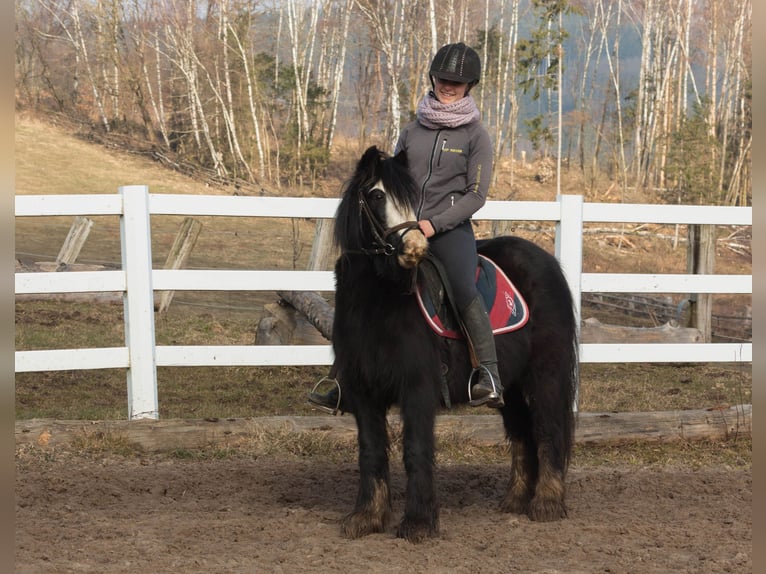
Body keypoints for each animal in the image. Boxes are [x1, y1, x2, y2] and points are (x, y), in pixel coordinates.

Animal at [332, 145, 580, 544]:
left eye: (412, 200)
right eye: (377, 195)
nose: (414, 247)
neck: (380, 302)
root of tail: (546, 261)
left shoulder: (417, 389)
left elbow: (416, 450)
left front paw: (418, 523)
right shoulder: (363, 391)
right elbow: (371, 451)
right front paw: (366, 518)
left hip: (546, 375)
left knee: (548, 429)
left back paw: (546, 504)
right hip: (508, 387)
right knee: (521, 434)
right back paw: (515, 500)